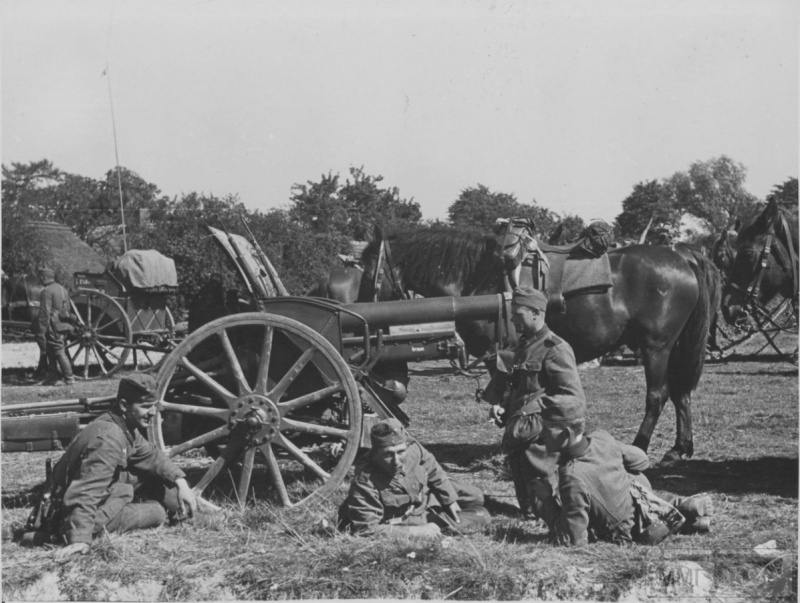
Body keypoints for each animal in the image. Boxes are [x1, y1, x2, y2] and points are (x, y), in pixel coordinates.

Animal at [500, 217, 720, 462]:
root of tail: (682, 257)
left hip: (657, 348)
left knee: (657, 396)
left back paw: (640, 446)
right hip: (678, 348)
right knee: (681, 393)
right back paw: (679, 448)